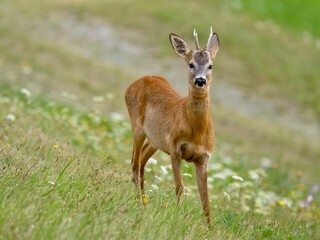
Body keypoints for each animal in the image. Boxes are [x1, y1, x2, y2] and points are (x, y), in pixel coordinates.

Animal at [125, 26, 220, 223]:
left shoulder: (204, 157)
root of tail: (141, 79)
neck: (197, 131)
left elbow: (206, 198)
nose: (200, 80)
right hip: (137, 127)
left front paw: (210, 227)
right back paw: (139, 203)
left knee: (141, 161)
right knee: (135, 164)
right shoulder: (176, 147)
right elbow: (180, 186)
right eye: (191, 64)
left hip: (155, 140)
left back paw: (144, 201)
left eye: (210, 65)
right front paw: (177, 215)